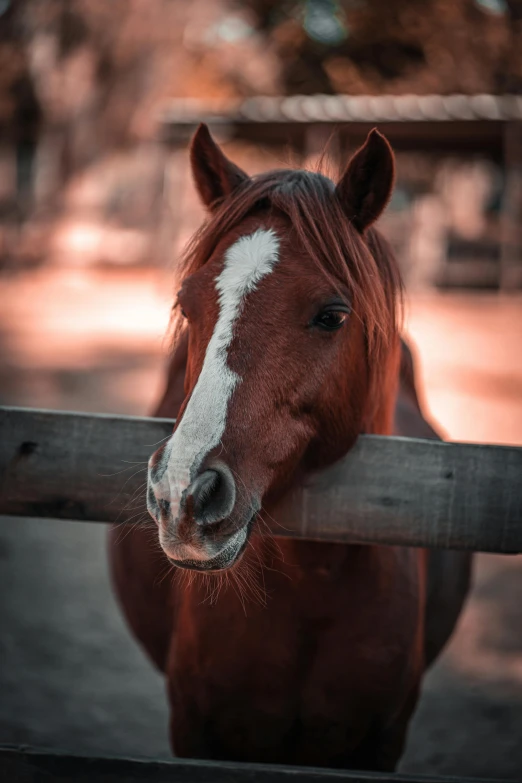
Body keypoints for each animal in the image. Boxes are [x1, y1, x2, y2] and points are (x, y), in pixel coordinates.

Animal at [107, 124, 470, 772]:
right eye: (184, 305)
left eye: (333, 316)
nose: (183, 497)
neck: (311, 587)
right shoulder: (196, 729)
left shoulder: (380, 742)